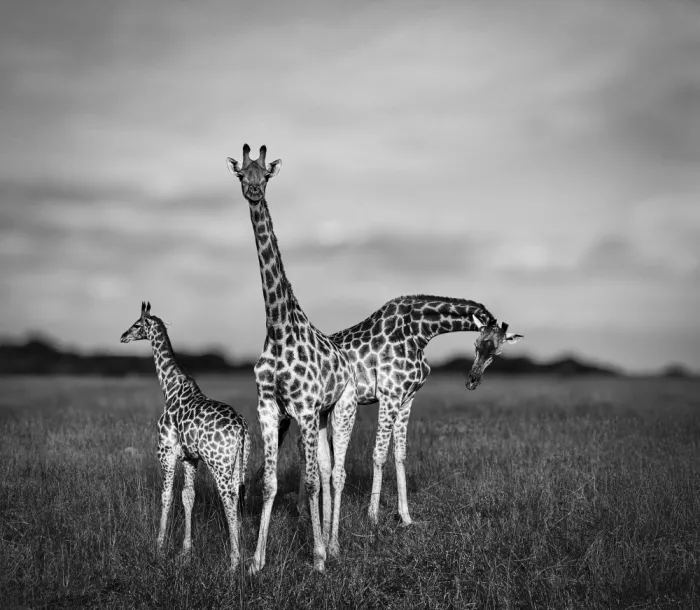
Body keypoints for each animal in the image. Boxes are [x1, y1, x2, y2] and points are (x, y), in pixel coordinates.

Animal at [120, 301, 250, 572]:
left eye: (136, 324)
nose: (122, 336)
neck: (169, 389)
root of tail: (241, 426)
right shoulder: (191, 458)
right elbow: (188, 496)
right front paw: (185, 552)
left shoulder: (166, 450)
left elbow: (166, 495)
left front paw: (159, 547)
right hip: (239, 462)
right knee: (239, 496)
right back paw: (243, 553)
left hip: (219, 464)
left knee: (229, 498)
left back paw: (233, 562)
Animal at [226, 144, 357, 574]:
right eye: (241, 175)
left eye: (265, 175)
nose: (253, 191)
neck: (279, 328)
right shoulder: (270, 408)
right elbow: (270, 483)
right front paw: (255, 561)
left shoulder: (303, 407)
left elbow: (313, 481)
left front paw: (316, 559)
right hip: (320, 416)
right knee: (329, 469)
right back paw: (328, 543)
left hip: (342, 408)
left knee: (337, 474)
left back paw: (333, 547)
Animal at [281, 295, 523, 525]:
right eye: (476, 344)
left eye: (497, 352)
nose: (472, 381)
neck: (417, 334)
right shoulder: (390, 395)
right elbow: (379, 455)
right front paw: (373, 517)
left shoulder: (407, 398)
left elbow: (400, 454)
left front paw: (405, 517)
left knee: (302, 444)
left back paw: (303, 510)